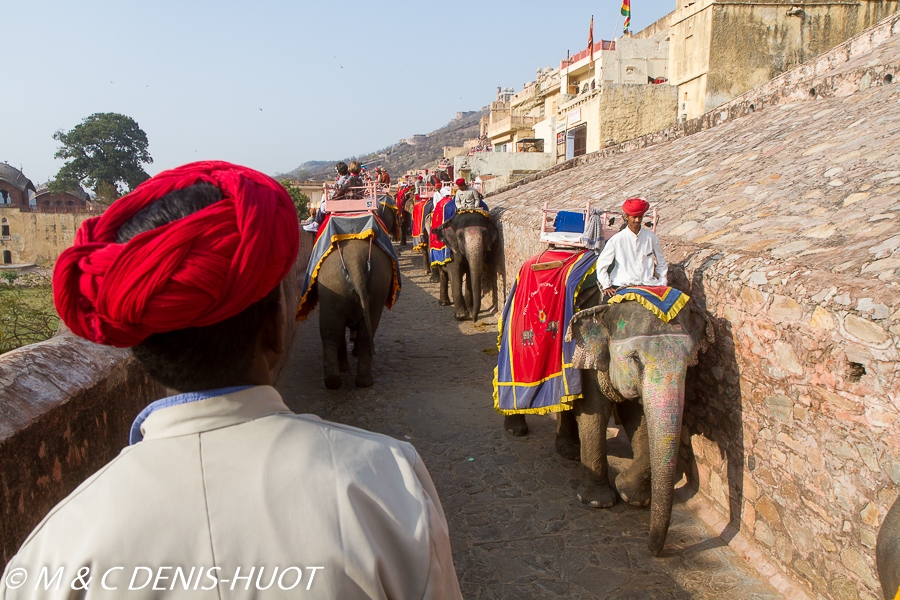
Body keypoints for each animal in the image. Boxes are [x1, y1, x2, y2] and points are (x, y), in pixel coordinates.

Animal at [316, 238, 394, 389]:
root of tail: (354, 263)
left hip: (333, 291)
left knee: (332, 333)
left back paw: (336, 379)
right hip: (376, 289)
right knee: (362, 334)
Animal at [503, 284, 713, 556]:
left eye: (689, 362)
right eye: (636, 359)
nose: (654, 552)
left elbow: (638, 416)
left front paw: (632, 496)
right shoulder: (586, 357)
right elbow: (594, 414)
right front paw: (597, 502)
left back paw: (570, 451)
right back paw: (516, 430)